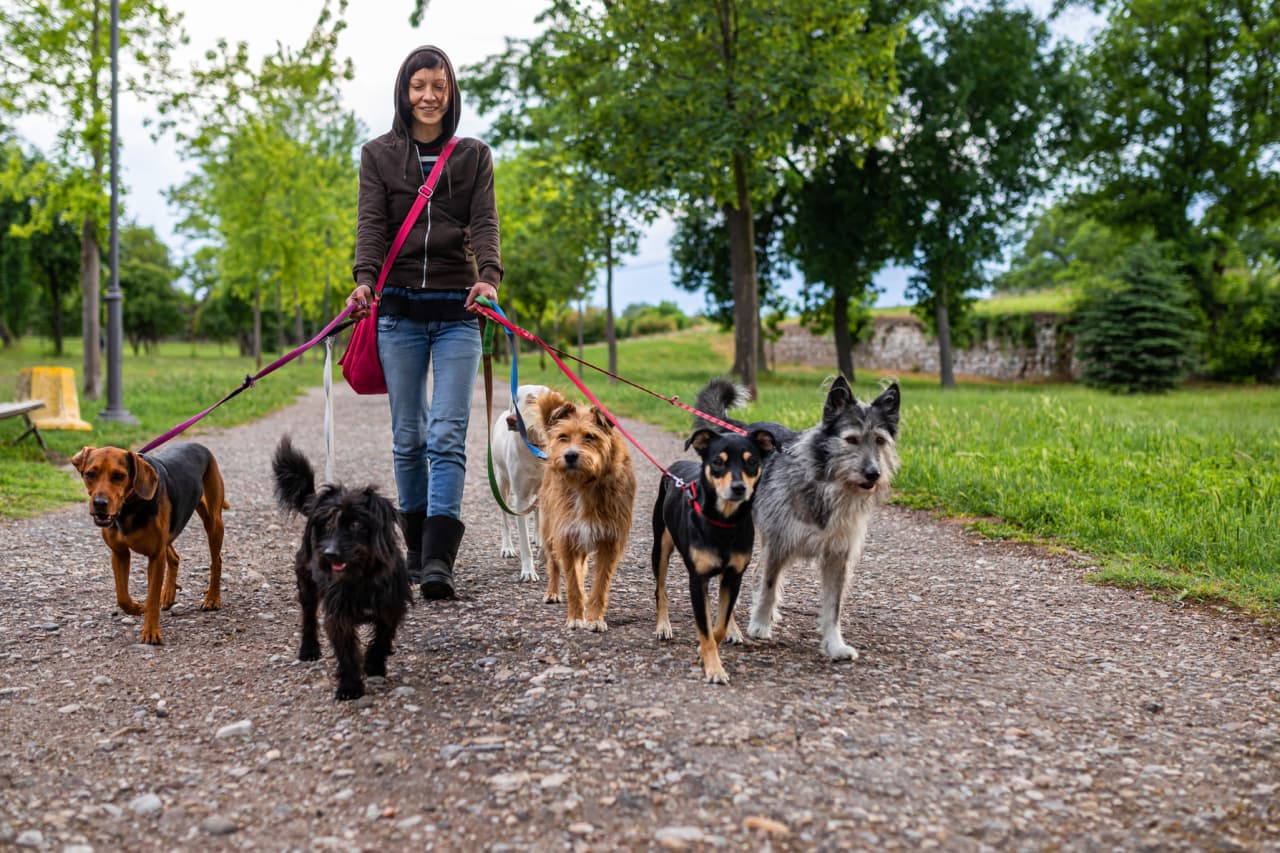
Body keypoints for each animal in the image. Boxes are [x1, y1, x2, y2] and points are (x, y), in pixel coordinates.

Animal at [72, 440, 229, 640]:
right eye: (90, 474)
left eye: (119, 476)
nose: (100, 504)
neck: (129, 507)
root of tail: (197, 445)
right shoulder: (120, 553)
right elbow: (122, 597)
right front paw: (138, 607)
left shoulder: (155, 556)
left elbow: (152, 596)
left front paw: (151, 632)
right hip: (169, 533)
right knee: (175, 558)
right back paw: (168, 594)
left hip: (213, 522)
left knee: (216, 561)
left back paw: (212, 598)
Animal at [272, 438, 412, 696]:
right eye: (328, 524)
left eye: (356, 523)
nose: (329, 553)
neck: (361, 576)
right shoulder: (339, 613)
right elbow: (345, 649)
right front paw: (350, 686)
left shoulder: (391, 605)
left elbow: (383, 636)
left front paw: (374, 664)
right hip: (306, 583)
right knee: (308, 617)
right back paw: (308, 649)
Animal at [488, 384, 550, 578]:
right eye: (514, 400)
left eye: (532, 400)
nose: (511, 419)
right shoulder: (520, 499)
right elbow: (524, 543)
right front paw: (528, 571)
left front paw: (544, 555)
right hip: (502, 485)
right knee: (505, 519)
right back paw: (507, 547)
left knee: (537, 514)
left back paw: (538, 538)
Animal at [655, 409, 773, 681]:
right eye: (718, 462)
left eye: (752, 462)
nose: (739, 488)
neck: (723, 522)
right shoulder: (698, 580)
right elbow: (706, 628)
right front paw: (714, 669)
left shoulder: (734, 575)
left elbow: (718, 624)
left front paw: (709, 649)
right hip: (661, 546)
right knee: (660, 589)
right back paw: (663, 625)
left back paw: (733, 630)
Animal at [691, 376, 901, 660]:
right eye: (851, 439)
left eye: (879, 440)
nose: (873, 473)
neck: (825, 483)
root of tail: (741, 428)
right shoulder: (779, 542)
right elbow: (768, 586)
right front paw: (760, 624)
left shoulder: (838, 555)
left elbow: (833, 607)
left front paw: (834, 644)